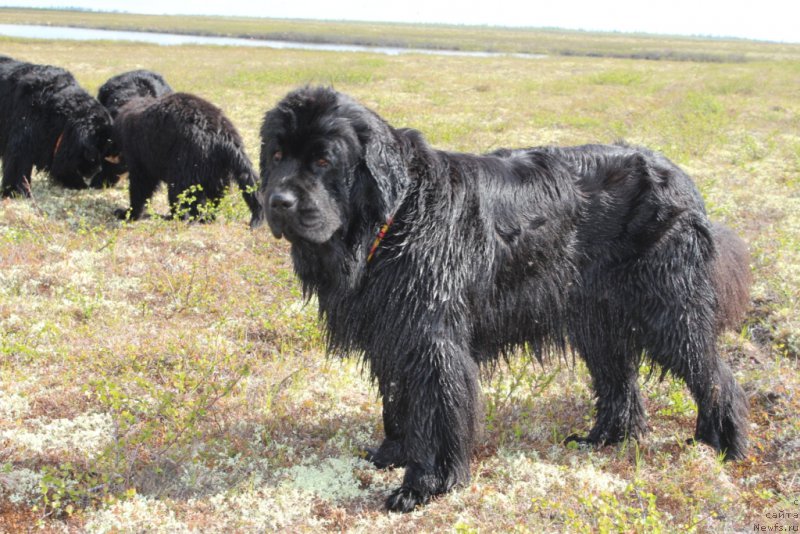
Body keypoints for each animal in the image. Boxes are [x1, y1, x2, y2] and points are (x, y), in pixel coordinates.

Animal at [0, 56, 114, 197]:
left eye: (104, 150)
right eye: (92, 153)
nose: (98, 170)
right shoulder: (23, 140)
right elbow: (19, 166)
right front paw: (16, 192)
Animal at [112, 92, 260, 226]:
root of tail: (225, 135)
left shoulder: (140, 161)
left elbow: (140, 189)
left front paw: (128, 213)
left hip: (185, 167)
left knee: (183, 199)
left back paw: (173, 217)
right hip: (215, 172)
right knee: (211, 200)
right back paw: (206, 218)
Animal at [260, 88, 752, 516]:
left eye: (324, 159)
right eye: (277, 156)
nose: (277, 202)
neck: (396, 218)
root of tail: (684, 181)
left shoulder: (431, 341)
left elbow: (435, 412)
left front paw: (423, 487)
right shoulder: (392, 335)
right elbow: (398, 403)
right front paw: (392, 454)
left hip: (668, 308)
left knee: (713, 374)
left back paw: (721, 446)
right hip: (596, 317)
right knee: (619, 381)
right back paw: (605, 438)